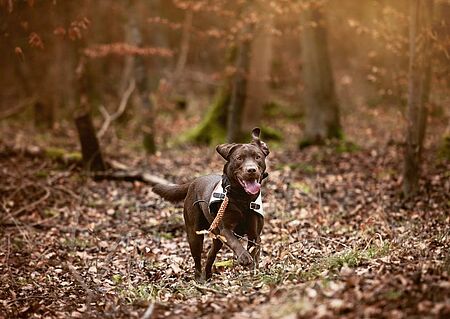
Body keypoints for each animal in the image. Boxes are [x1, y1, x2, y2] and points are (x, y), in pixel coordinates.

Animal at [153, 129, 268, 282]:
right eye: (239, 158)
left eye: (257, 157)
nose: (251, 170)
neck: (242, 198)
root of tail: (194, 181)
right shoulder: (226, 229)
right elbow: (235, 243)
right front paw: (244, 257)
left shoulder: (254, 234)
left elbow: (254, 253)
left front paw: (253, 273)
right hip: (194, 233)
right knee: (197, 258)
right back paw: (199, 279)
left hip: (216, 236)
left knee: (210, 254)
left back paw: (207, 276)